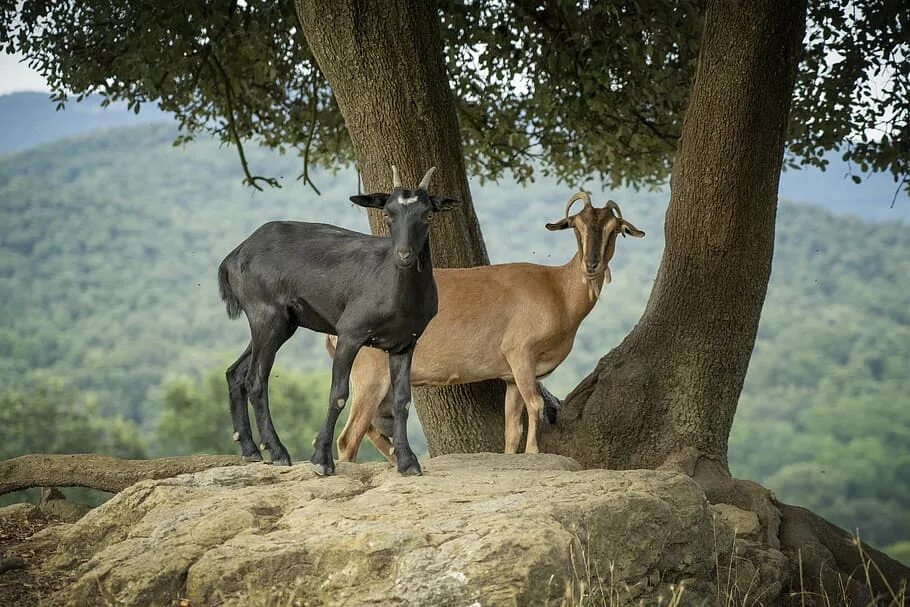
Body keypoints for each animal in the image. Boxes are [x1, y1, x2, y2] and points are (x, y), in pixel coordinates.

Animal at [218, 165, 460, 476]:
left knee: (235, 372)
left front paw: (408, 463)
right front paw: (321, 459)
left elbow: (403, 401)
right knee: (255, 380)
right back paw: (278, 451)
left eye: (428, 215)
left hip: (282, 323)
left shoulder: (405, 343)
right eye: (387, 213)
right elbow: (338, 394)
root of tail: (233, 257)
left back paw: (250, 450)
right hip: (266, 314)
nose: (404, 255)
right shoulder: (350, 333)